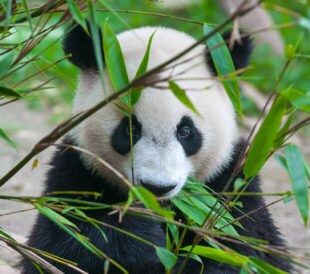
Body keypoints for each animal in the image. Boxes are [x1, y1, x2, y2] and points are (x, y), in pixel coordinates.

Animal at [20, 22, 294, 272]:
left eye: (185, 131)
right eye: (131, 129)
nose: (157, 187)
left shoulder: (232, 182)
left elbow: (248, 250)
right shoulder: (76, 172)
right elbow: (64, 244)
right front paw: (140, 232)